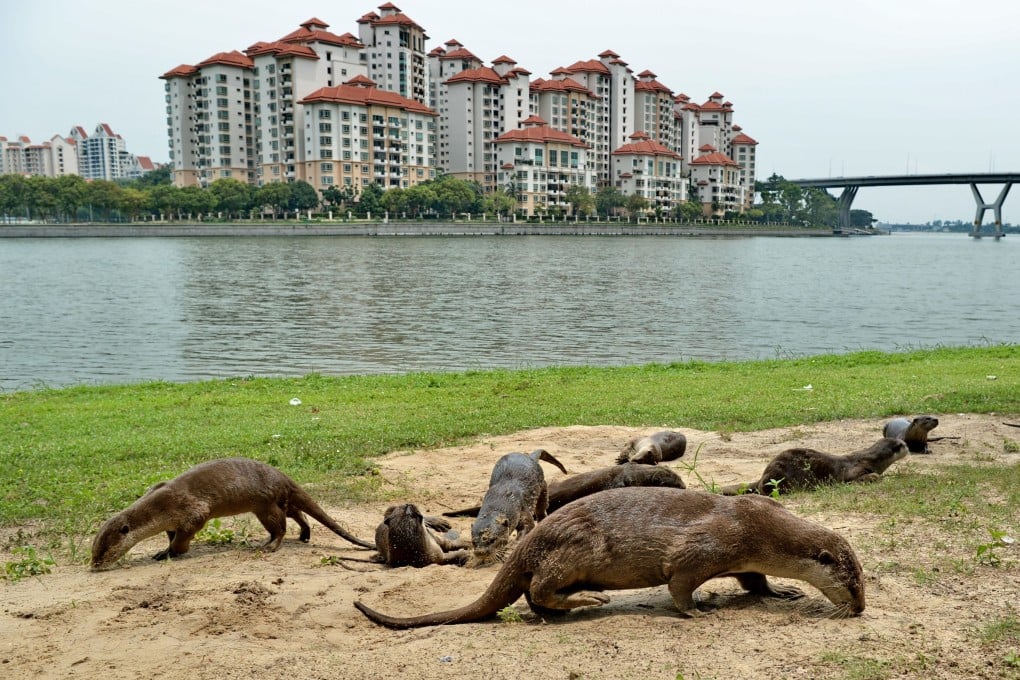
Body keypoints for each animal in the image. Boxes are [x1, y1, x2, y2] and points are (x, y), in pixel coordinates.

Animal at [91, 457, 374, 570]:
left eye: (104, 550)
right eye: (94, 550)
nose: (94, 565)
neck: (161, 506)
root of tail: (283, 476)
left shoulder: (192, 510)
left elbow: (184, 537)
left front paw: (174, 552)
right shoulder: (171, 518)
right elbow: (171, 534)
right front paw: (163, 550)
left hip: (265, 505)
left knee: (281, 527)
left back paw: (269, 546)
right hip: (274, 502)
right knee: (298, 515)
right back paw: (304, 536)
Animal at [354, 487, 865, 628]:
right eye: (854, 582)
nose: (860, 608)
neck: (758, 528)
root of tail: (529, 541)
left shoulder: (747, 559)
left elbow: (755, 581)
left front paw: (781, 591)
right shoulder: (705, 549)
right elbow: (679, 585)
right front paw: (698, 610)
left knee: (533, 598)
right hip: (577, 548)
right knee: (538, 588)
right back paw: (587, 603)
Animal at [720, 437, 909, 496]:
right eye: (903, 445)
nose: (908, 445)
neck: (872, 460)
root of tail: (763, 475)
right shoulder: (855, 469)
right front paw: (874, 477)